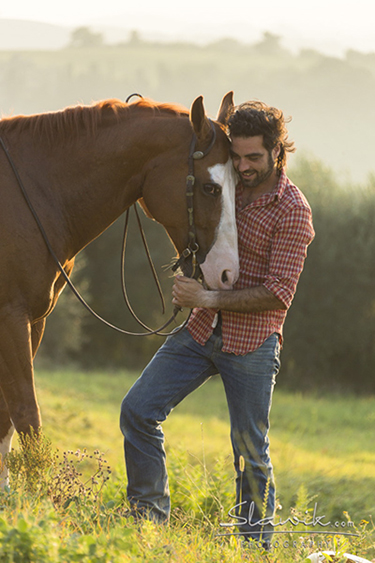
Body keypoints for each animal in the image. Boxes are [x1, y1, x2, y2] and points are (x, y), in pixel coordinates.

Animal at [0, 93, 241, 484]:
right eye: (210, 188)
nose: (227, 273)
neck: (32, 193)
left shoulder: (33, 320)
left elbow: (7, 416)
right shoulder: (10, 318)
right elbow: (26, 414)